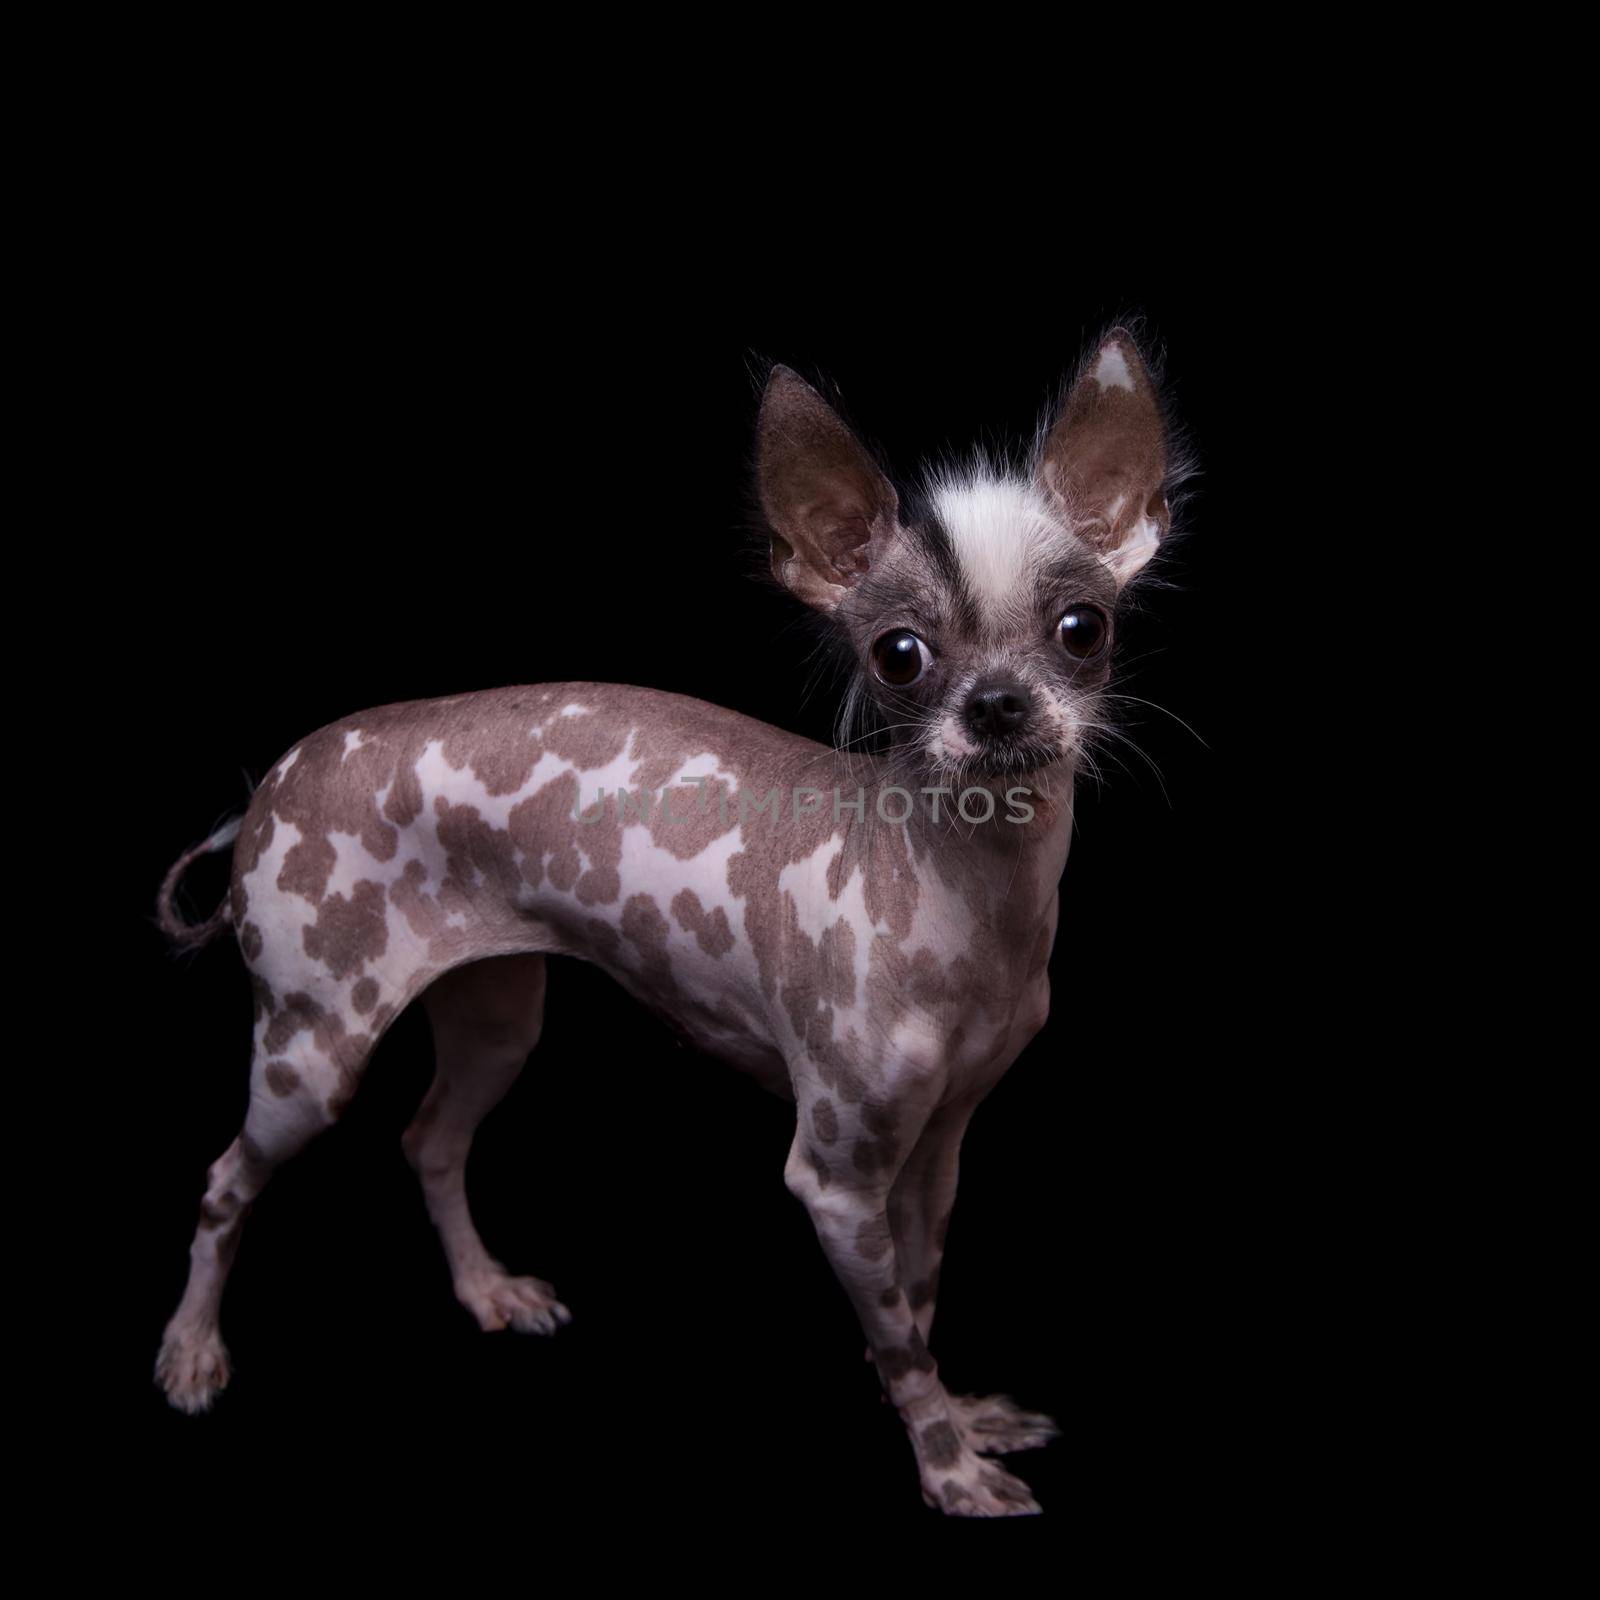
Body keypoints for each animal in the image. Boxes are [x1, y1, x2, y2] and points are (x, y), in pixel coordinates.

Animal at [159, 328, 1190, 1510]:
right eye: (898, 653)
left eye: (1082, 629)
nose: (998, 706)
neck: (960, 900)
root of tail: (269, 784)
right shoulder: (835, 1178)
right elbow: (897, 1336)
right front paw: (945, 1463)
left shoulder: (939, 1146)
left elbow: (921, 1302)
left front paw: (958, 1422)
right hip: (310, 1051)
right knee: (225, 1184)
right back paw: (190, 1351)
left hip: (497, 1016)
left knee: (429, 1140)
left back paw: (486, 1290)